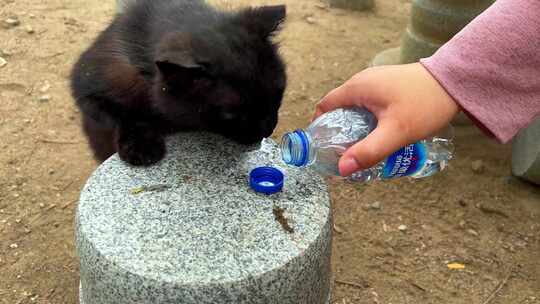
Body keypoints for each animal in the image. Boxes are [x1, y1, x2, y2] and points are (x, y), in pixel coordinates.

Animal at [71, 0, 286, 166]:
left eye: (278, 93)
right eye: (231, 114)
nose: (268, 129)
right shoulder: (87, 90)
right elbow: (123, 115)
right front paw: (141, 146)